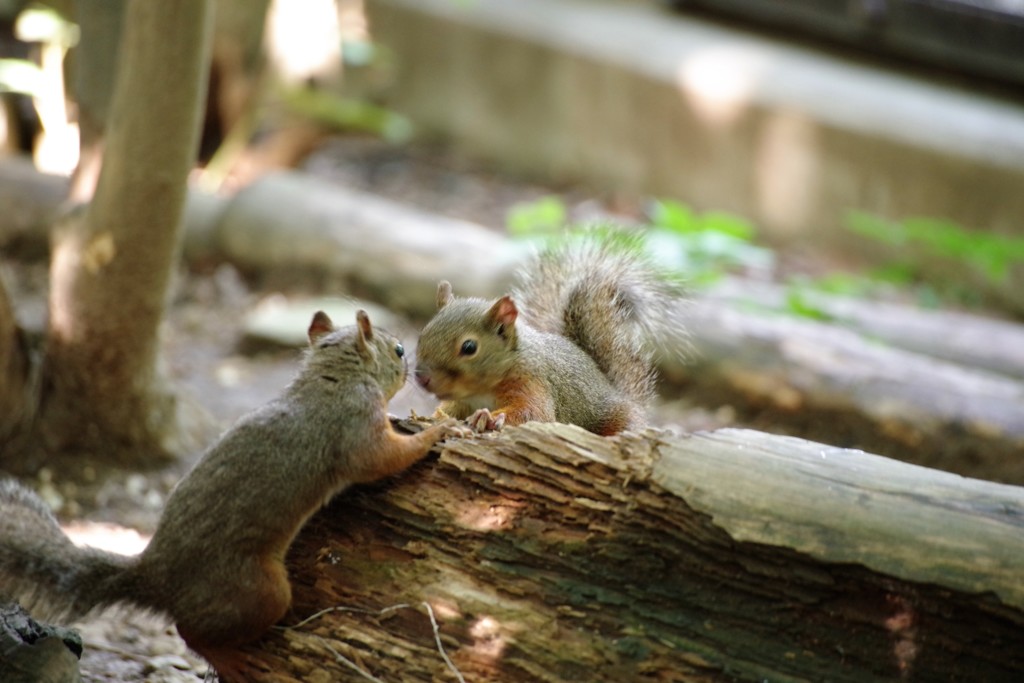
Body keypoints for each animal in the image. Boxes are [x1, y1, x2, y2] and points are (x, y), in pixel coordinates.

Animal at [0, 309, 464, 679]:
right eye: (399, 350)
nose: (414, 370)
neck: (330, 377)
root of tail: (155, 575)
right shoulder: (354, 427)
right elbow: (382, 459)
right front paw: (437, 432)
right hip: (258, 589)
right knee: (190, 629)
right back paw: (231, 661)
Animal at [411, 235, 684, 436]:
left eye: (469, 347)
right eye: (422, 335)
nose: (422, 378)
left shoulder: (533, 384)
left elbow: (534, 414)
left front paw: (487, 417)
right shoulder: (461, 401)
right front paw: (434, 418)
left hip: (619, 418)